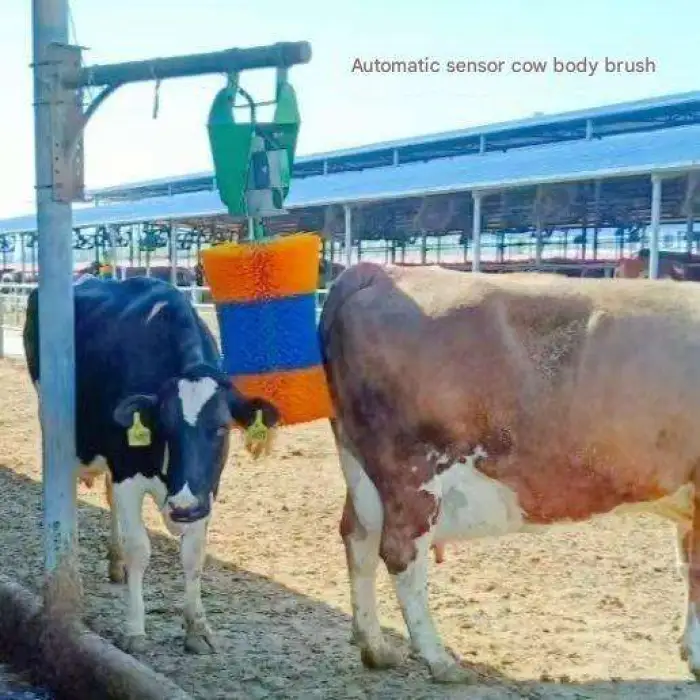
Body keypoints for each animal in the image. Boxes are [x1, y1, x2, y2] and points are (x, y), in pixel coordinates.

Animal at [23, 275, 279, 654]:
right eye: (164, 426)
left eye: (222, 428)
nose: (184, 507)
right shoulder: (127, 471)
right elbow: (139, 549)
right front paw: (134, 630)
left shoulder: (206, 489)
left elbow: (193, 553)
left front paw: (197, 628)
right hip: (52, 415)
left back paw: (115, 563)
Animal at [319, 261, 700, 683]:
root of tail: (380, 270)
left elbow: (686, 568)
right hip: (413, 471)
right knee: (401, 555)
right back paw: (439, 660)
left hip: (362, 470)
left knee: (359, 539)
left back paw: (376, 648)